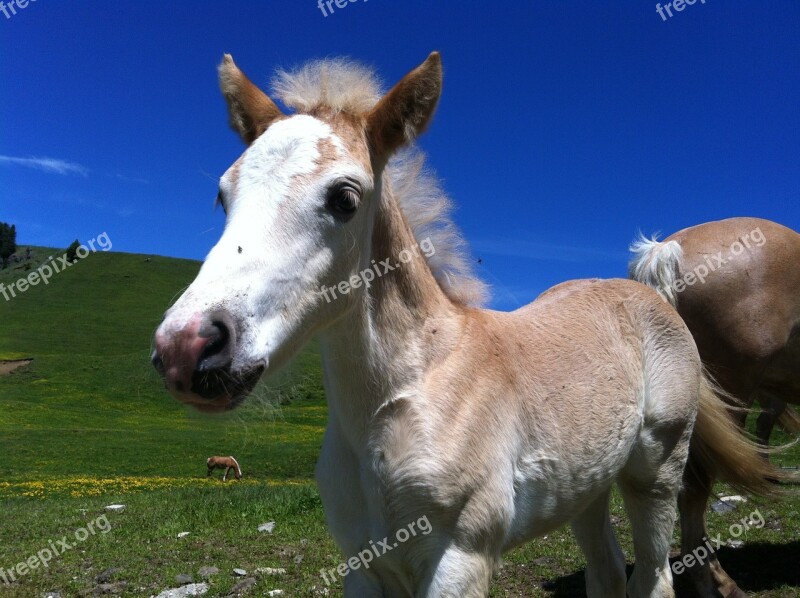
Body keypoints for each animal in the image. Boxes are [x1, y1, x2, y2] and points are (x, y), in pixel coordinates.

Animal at [152, 54, 780, 596]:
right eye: (223, 194)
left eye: (345, 198)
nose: (188, 347)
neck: (404, 397)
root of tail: (651, 292)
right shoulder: (364, 566)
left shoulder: (461, 556)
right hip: (585, 487)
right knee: (606, 572)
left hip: (656, 471)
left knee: (653, 574)